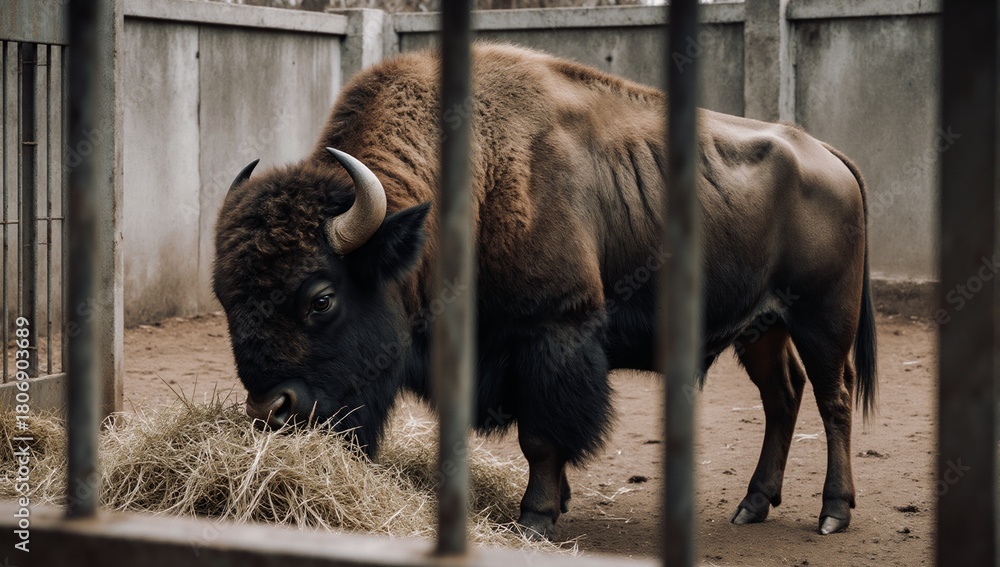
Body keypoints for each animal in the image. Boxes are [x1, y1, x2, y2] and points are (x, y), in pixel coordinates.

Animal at [213, 43, 876, 538]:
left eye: (321, 298)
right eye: (225, 298)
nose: (271, 411)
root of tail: (827, 155)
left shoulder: (552, 331)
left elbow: (541, 436)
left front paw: (535, 516)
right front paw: (557, 503)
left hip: (821, 321)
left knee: (833, 398)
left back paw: (833, 513)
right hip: (761, 328)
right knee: (783, 396)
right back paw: (752, 505)